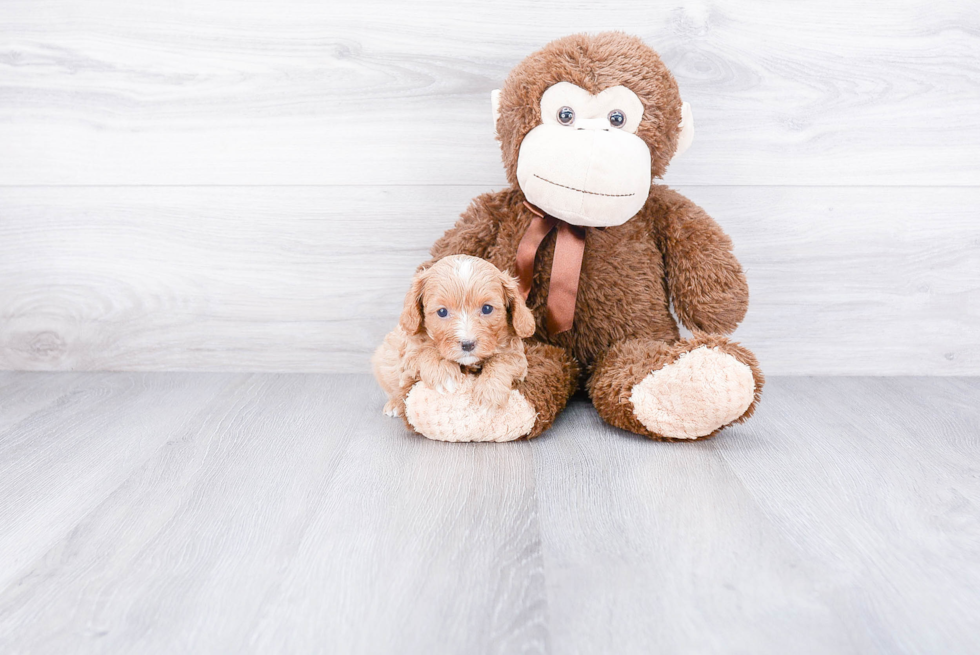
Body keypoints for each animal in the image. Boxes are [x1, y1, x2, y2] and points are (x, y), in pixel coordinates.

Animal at [372, 254, 536, 418]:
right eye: (442, 312)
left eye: (487, 308)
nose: (468, 344)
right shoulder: (410, 351)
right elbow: (426, 351)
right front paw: (444, 373)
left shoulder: (515, 355)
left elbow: (502, 361)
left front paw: (489, 394)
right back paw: (395, 404)